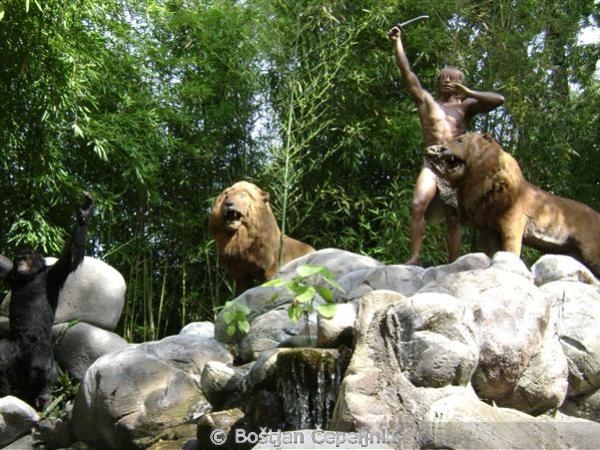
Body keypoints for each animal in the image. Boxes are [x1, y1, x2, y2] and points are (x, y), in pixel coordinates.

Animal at [426, 132, 600, 277]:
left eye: (460, 140)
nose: (438, 148)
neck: (477, 183)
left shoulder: (512, 221)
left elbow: (511, 250)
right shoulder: (487, 229)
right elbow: (492, 252)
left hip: (591, 251)